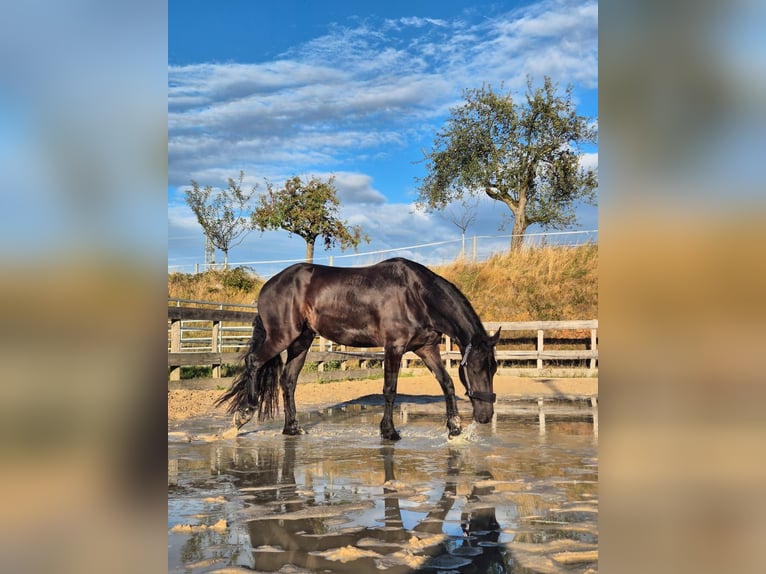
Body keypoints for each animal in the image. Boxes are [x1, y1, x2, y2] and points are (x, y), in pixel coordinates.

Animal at [218, 258, 504, 444]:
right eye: (475, 368)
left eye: (493, 369)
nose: (485, 416)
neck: (417, 295)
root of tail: (269, 285)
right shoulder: (394, 347)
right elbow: (390, 390)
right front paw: (389, 432)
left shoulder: (426, 348)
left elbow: (447, 383)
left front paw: (454, 429)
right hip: (282, 336)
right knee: (254, 362)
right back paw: (243, 415)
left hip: (302, 341)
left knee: (288, 380)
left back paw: (292, 429)